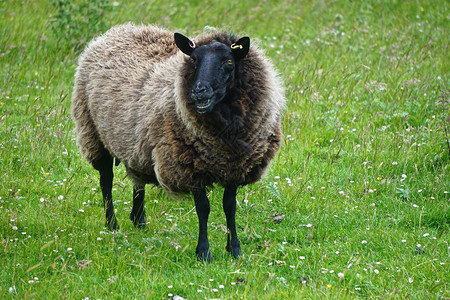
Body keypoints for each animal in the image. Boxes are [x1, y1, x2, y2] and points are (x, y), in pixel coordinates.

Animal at [72, 24, 286, 260]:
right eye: (193, 59)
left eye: (229, 61)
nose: (199, 90)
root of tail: (120, 30)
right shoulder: (190, 167)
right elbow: (203, 208)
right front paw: (204, 252)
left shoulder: (235, 166)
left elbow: (230, 206)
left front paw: (235, 249)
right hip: (93, 134)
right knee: (106, 181)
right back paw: (112, 224)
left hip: (134, 142)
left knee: (137, 178)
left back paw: (139, 219)